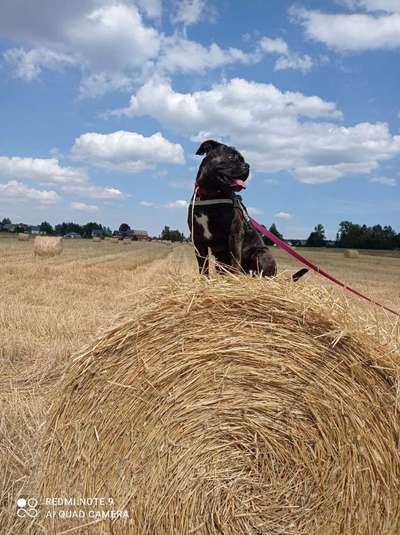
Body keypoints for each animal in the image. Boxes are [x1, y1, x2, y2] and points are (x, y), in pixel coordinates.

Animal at [188, 140, 306, 280]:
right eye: (231, 157)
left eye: (243, 159)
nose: (247, 166)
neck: (210, 194)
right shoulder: (198, 240)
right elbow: (203, 265)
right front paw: (204, 280)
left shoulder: (234, 234)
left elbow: (235, 260)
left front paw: (233, 279)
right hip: (219, 262)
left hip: (261, 254)